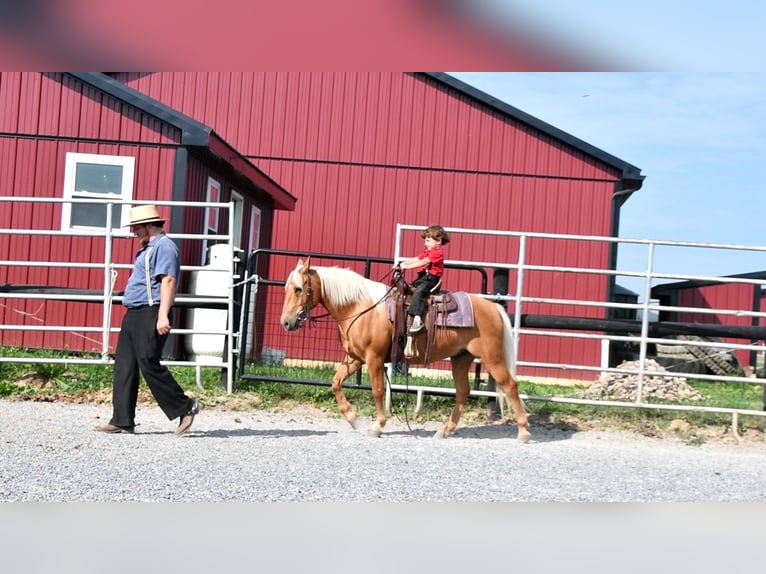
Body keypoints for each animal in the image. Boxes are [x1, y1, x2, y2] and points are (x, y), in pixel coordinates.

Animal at [280, 258, 536, 444]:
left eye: (299, 289)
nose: (286, 322)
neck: (360, 307)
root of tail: (492, 307)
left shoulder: (373, 358)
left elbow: (377, 390)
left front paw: (377, 426)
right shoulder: (354, 359)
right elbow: (335, 382)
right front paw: (352, 418)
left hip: (492, 358)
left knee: (510, 386)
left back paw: (523, 432)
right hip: (461, 359)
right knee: (463, 391)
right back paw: (446, 429)